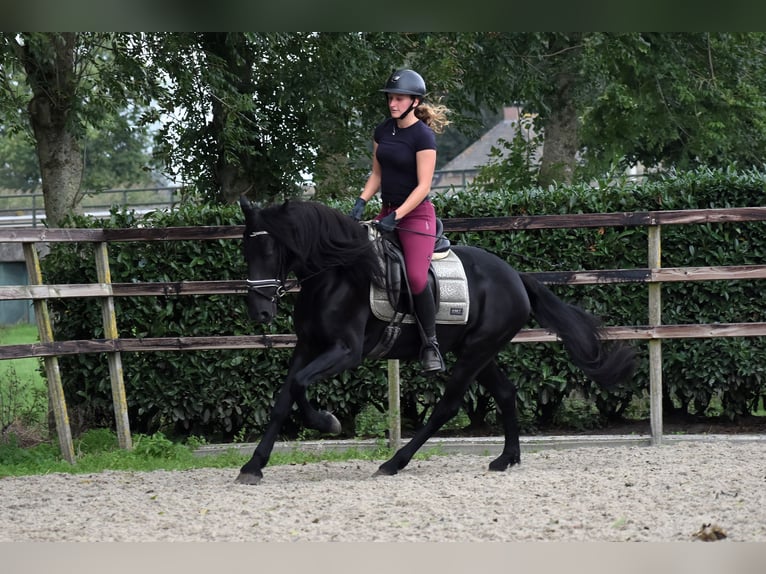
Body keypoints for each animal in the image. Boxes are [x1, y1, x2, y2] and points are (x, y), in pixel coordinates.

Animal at [236, 198, 636, 486]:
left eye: (271, 250)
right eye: (245, 250)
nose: (259, 312)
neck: (335, 275)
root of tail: (516, 277)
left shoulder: (346, 352)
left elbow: (301, 387)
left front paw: (328, 422)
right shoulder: (307, 346)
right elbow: (284, 398)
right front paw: (253, 466)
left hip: (474, 353)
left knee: (448, 406)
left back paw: (394, 462)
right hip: (478, 351)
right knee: (505, 393)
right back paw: (506, 458)